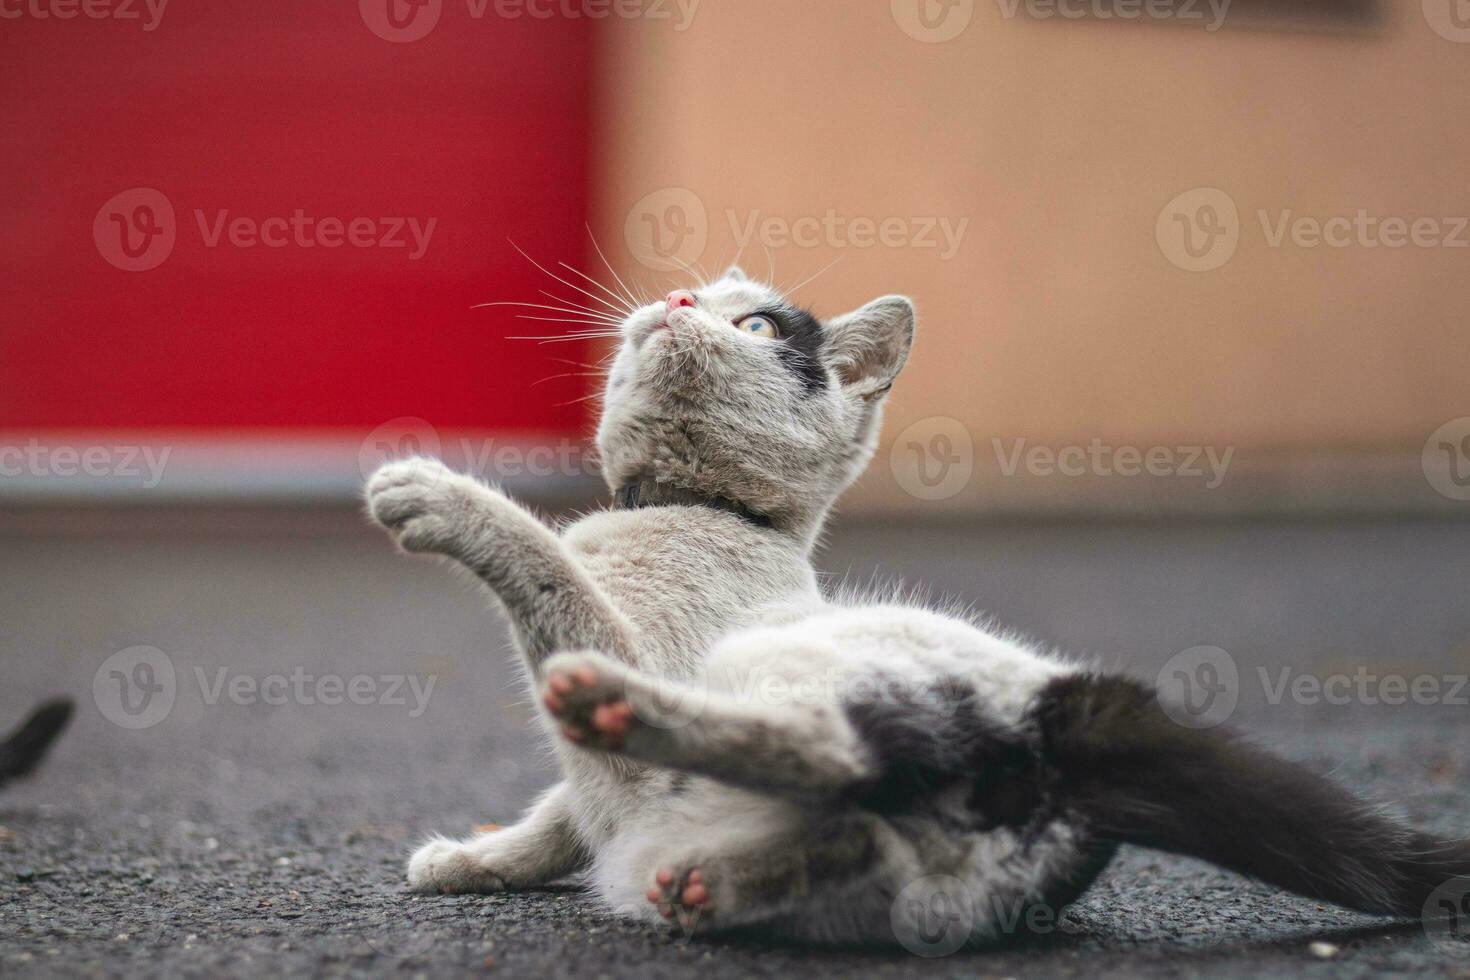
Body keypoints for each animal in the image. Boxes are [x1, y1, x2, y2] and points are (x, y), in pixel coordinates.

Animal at [367, 265, 1470, 940]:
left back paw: (625, 717)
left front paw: (437, 495)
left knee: (826, 748)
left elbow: (549, 567)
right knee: (851, 820)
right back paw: (716, 882)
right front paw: (475, 859)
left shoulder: (617, 636)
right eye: (699, 296)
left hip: (793, 667)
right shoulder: (596, 788)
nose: (676, 294)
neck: (693, 509)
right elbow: (560, 810)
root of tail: (1078, 745)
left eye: (756, 323)